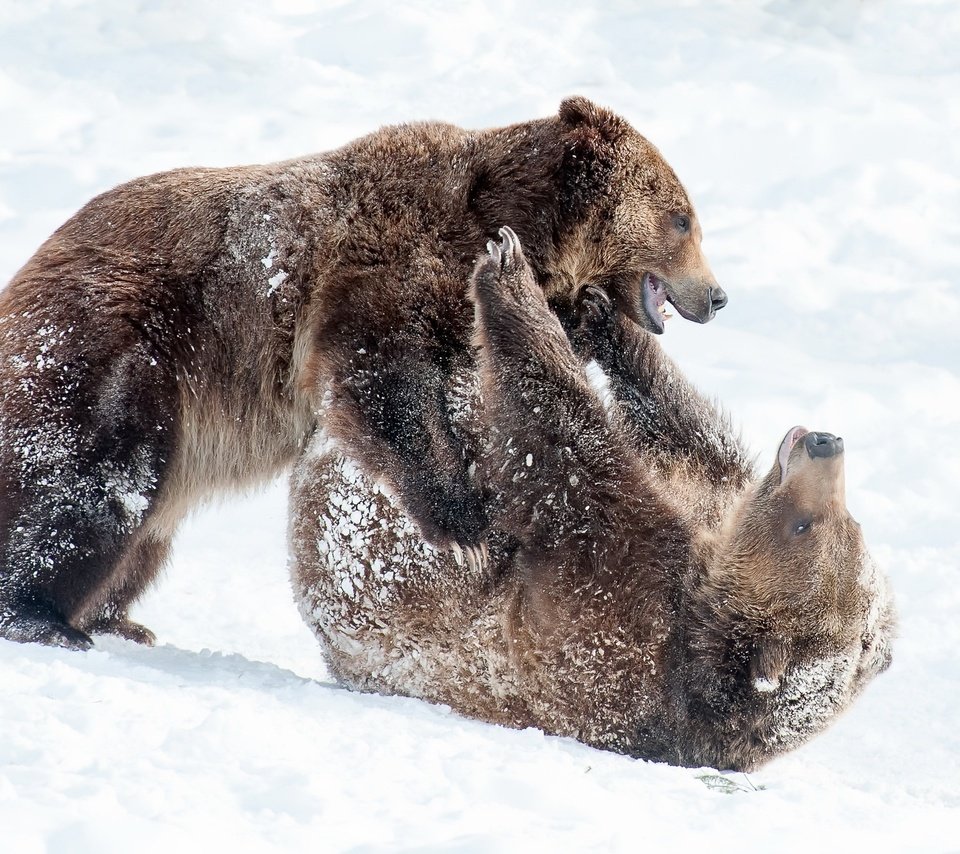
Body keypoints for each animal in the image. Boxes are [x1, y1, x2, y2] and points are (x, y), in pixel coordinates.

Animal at [0, 97, 720, 652]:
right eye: (682, 217)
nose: (716, 296)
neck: (501, 218)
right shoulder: (382, 266)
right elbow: (382, 385)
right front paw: (468, 527)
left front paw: (584, 315)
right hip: (123, 342)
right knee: (90, 477)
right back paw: (43, 613)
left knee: (142, 527)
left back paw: (118, 617)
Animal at [288, 229, 896, 776]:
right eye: (852, 524)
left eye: (805, 526)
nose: (824, 442)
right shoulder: (702, 498)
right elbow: (680, 424)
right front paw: (604, 316)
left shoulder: (615, 614)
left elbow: (565, 446)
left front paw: (508, 271)